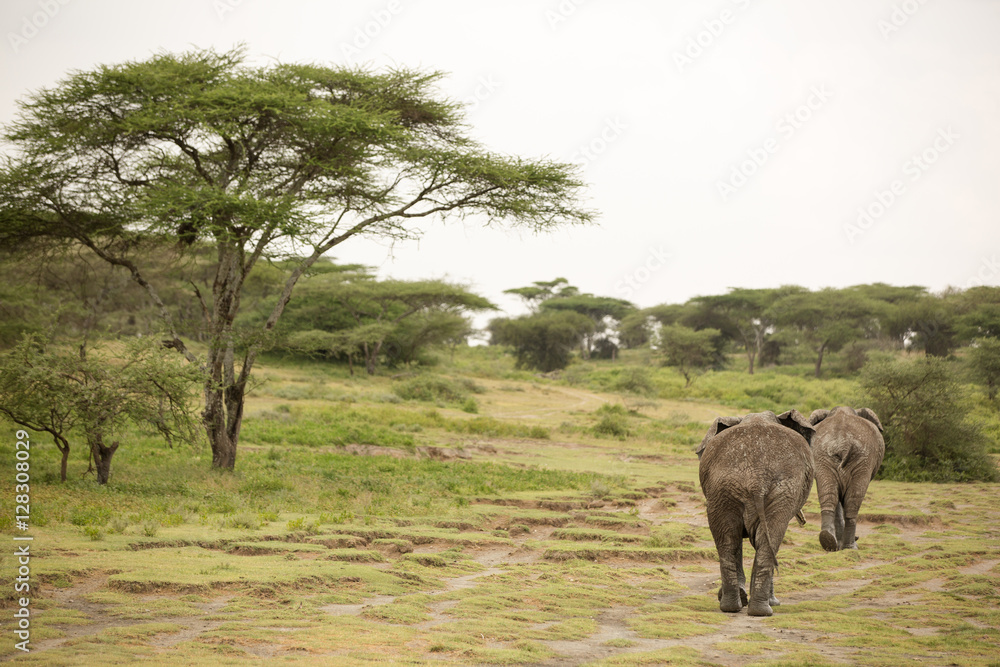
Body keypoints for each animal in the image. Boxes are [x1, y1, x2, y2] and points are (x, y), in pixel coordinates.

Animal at [700, 410, 816, 620]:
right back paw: (764, 609)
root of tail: (756, 477)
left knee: (729, 541)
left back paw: (733, 607)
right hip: (777, 491)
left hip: (722, 490)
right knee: (767, 540)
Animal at [808, 408, 888, 552]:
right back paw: (850, 547)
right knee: (852, 502)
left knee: (829, 495)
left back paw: (827, 540)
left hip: (822, 456)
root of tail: (843, 444)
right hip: (863, 459)